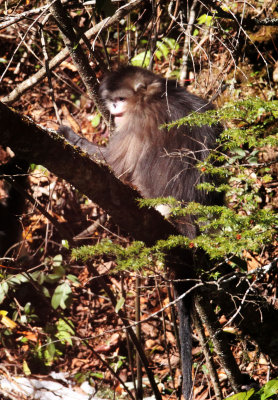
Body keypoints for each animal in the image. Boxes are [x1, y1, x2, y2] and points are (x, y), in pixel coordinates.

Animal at [59, 66, 224, 400]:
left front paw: (70, 135)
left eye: (121, 99)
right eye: (112, 100)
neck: (154, 95)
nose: (113, 109)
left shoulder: (135, 121)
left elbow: (113, 164)